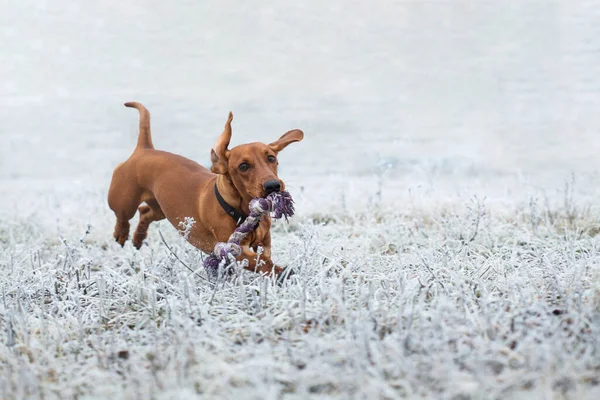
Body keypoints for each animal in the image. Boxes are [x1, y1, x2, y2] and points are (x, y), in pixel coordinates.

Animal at [106, 103, 304, 276]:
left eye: (271, 158)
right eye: (243, 166)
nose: (273, 186)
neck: (241, 210)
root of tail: (144, 149)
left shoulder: (265, 242)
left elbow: (264, 258)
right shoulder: (234, 249)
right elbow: (260, 262)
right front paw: (283, 273)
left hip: (162, 209)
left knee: (144, 212)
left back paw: (138, 238)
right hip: (123, 201)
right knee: (123, 216)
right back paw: (121, 233)